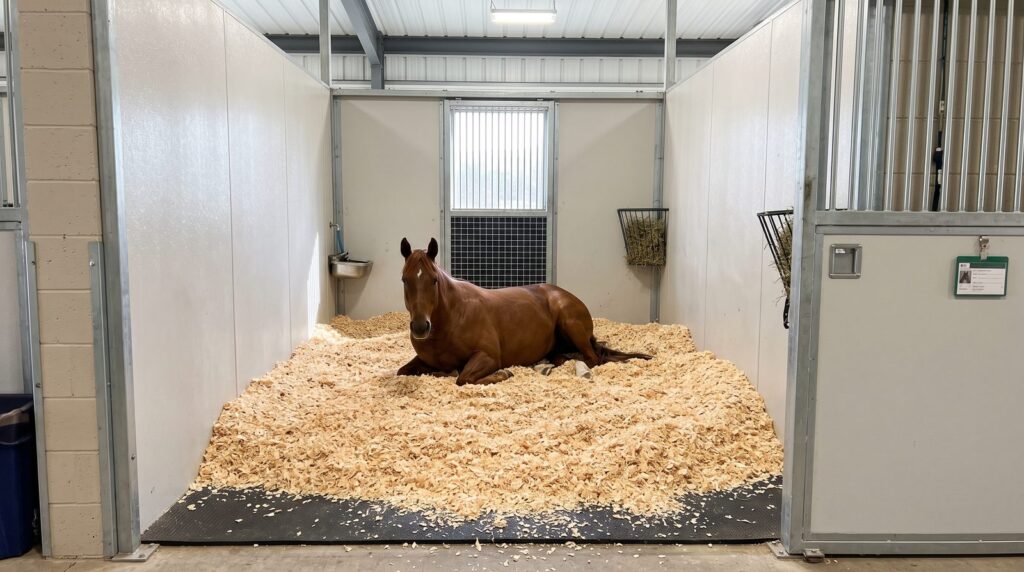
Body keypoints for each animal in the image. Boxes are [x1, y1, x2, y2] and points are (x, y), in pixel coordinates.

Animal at [396, 237, 652, 385]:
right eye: (404, 280)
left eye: (433, 280)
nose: (420, 327)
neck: (452, 318)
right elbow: (403, 371)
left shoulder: (488, 356)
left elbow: (463, 377)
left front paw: (503, 374)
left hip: (571, 325)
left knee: (592, 358)